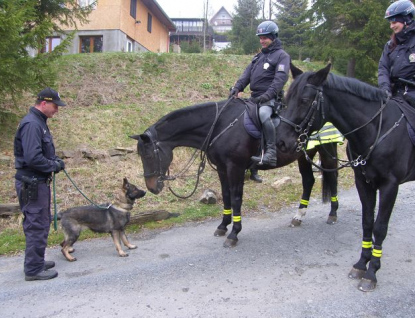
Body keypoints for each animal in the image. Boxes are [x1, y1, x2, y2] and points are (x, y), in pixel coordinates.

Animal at [132, 98, 340, 247]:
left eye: (148, 155)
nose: (151, 187)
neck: (220, 126)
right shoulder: (222, 168)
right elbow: (226, 196)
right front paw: (223, 226)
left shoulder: (236, 168)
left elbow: (236, 198)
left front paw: (234, 233)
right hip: (305, 156)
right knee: (308, 181)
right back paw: (298, 216)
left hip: (325, 151)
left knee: (332, 177)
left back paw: (333, 214)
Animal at [278, 63, 415, 292]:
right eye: (287, 98)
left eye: (304, 100)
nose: (281, 142)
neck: (376, 131)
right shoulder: (363, 182)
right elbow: (367, 222)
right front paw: (361, 264)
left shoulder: (390, 186)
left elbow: (380, 227)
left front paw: (371, 273)